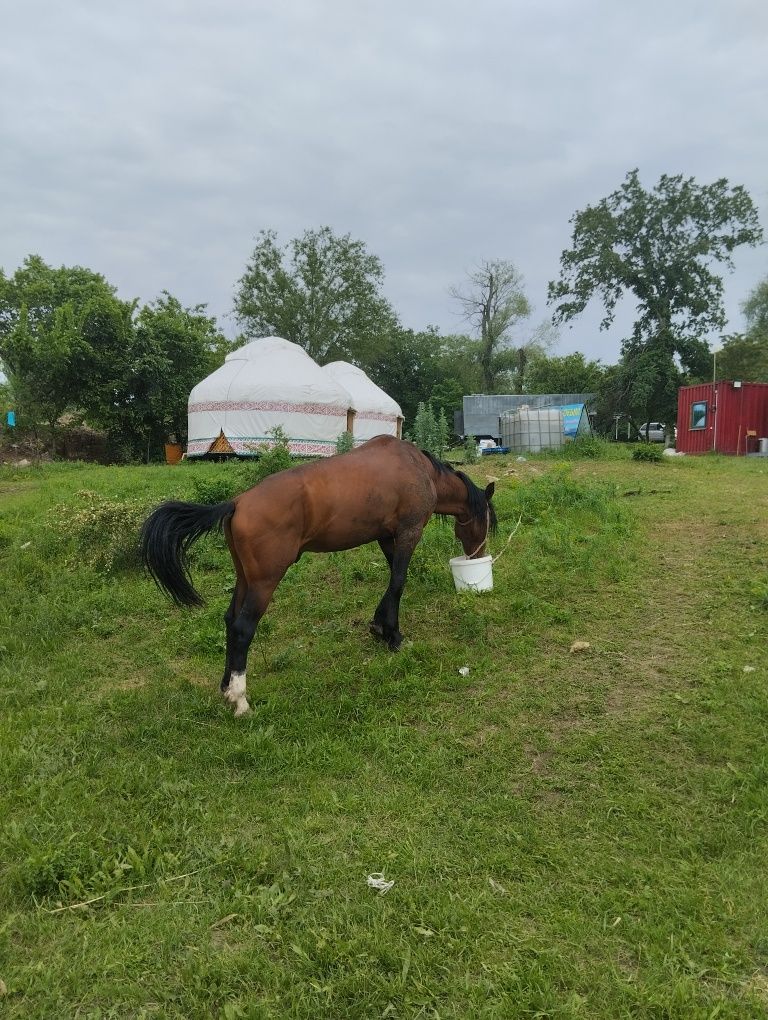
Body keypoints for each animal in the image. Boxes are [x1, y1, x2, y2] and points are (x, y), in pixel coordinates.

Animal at [139, 434, 493, 714]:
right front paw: (392, 634)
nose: (478, 554)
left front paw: (381, 627)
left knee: (229, 620)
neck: (419, 469)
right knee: (242, 628)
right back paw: (240, 700)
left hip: (245, 579)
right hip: (264, 583)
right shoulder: (408, 533)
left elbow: (391, 581)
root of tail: (237, 502)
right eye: (487, 519)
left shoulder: (386, 537)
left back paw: (226, 687)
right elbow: (398, 582)